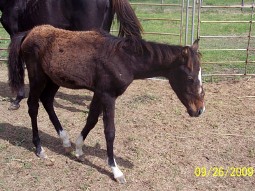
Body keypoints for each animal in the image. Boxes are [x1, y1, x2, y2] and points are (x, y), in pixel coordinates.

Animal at [7, 24, 205, 183]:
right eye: (190, 78)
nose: (199, 110)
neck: (125, 59)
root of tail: (28, 33)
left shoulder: (99, 92)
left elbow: (91, 120)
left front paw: (79, 150)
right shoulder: (109, 95)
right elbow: (110, 131)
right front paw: (116, 170)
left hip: (53, 79)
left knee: (47, 101)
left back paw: (65, 141)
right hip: (38, 78)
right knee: (33, 106)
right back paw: (40, 148)